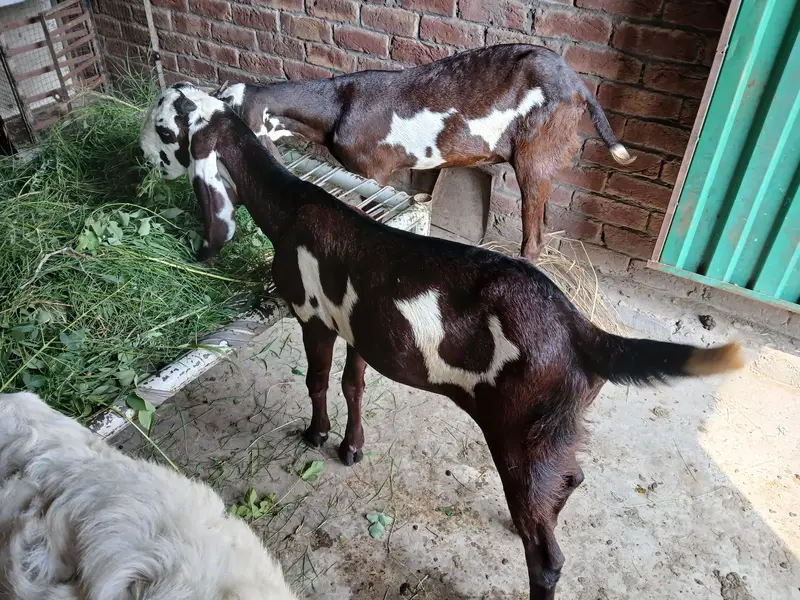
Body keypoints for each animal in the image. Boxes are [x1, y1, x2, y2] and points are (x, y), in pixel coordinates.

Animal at [139, 83, 743, 600]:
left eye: (165, 127)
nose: (143, 153)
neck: (290, 207)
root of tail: (585, 331)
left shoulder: (313, 317)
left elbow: (316, 380)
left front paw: (315, 435)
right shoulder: (358, 327)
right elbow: (353, 384)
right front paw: (351, 448)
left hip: (518, 431)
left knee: (548, 557)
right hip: (554, 431)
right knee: (571, 477)